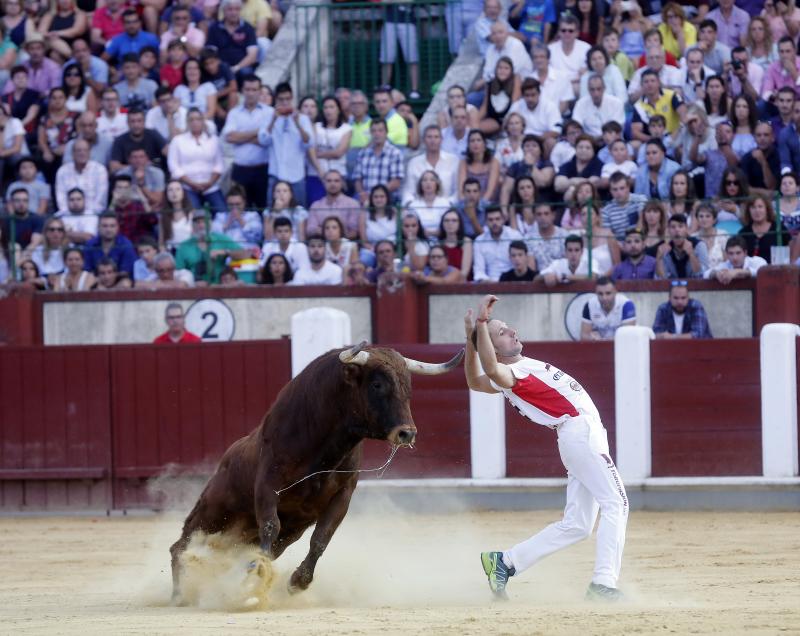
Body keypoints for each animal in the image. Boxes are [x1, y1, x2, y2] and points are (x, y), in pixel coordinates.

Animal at [172, 340, 466, 600]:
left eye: (408, 386)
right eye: (377, 384)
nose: (407, 433)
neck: (323, 450)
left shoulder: (342, 496)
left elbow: (321, 537)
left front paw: (297, 581)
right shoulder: (268, 485)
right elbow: (270, 525)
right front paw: (258, 570)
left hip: (279, 530)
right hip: (213, 512)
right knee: (180, 546)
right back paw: (178, 595)